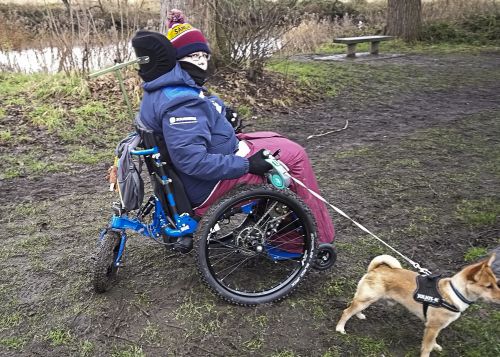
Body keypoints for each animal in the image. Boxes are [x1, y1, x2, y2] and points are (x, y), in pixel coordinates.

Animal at [336, 252, 500, 354]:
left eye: (496, 283)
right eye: (488, 286)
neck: (454, 292)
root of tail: (378, 268)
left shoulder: (435, 327)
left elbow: (432, 341)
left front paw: (435, 346)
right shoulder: (432, 327)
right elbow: (426, 348)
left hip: (369, 299)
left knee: (355, 308)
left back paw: (359, 315)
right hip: (367, 298)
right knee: (347, 311)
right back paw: (340, 328)